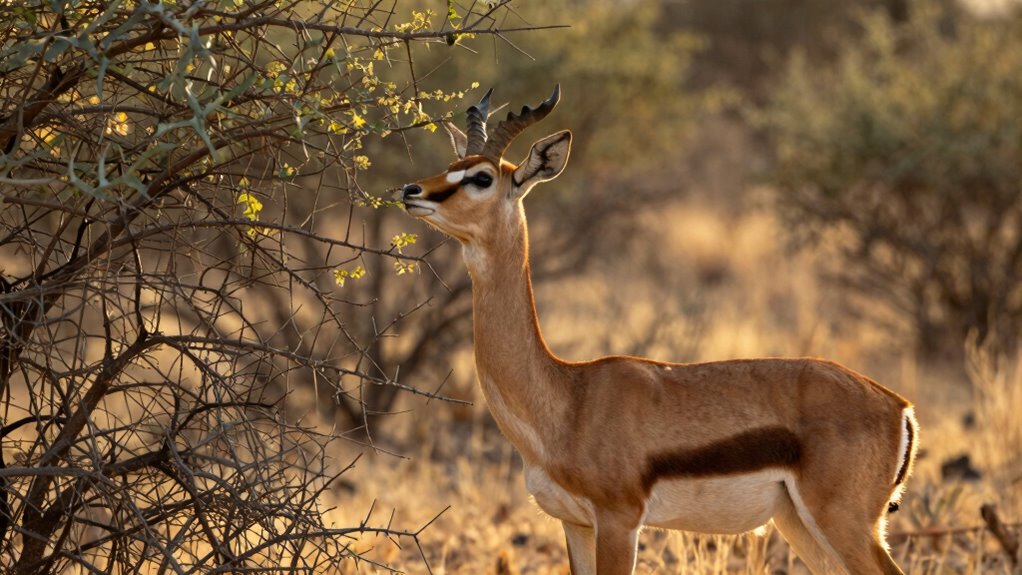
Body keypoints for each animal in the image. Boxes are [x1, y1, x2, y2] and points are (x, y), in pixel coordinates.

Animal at [399, 86, 918, 574]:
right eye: (452, 165)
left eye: (481, 177)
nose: (410, 190)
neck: (568, 399)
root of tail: (899, 407)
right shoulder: (574, 524)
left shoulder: (619, 521)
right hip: (800, 523)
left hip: (843, 523)